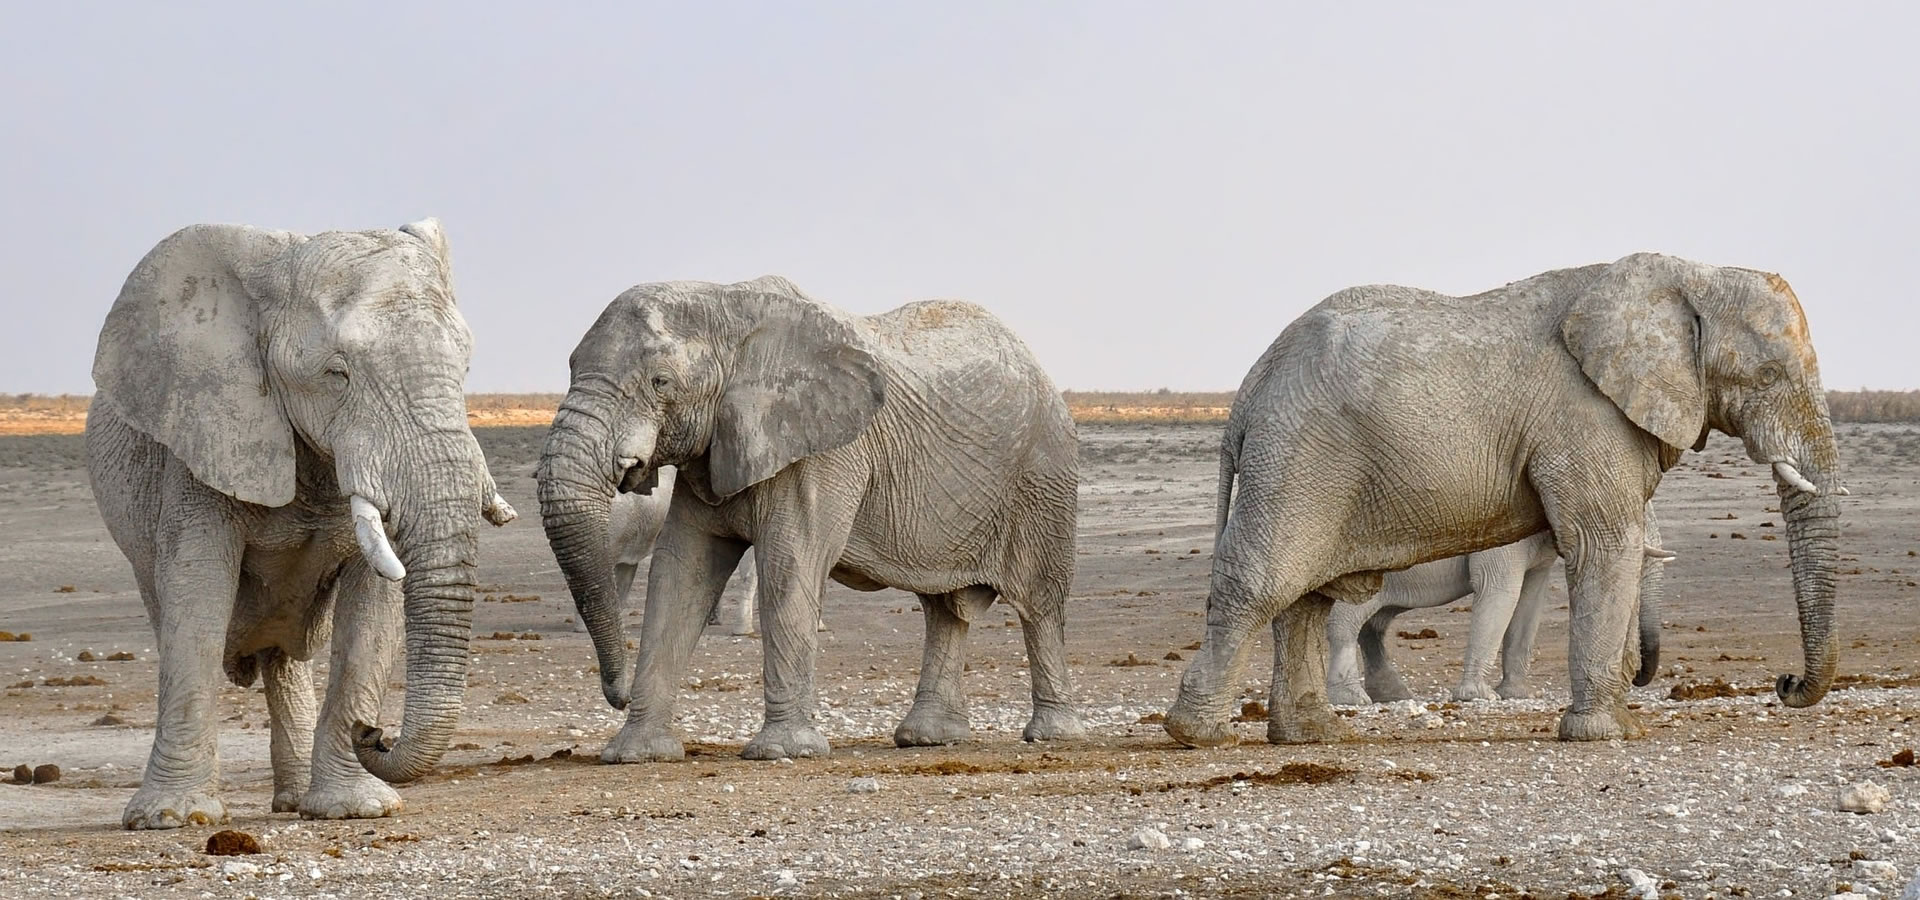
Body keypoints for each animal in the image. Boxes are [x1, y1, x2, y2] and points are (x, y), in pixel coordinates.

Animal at [86, 219, 514, 828]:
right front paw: (171, 818)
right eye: (337, 374)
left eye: (466, 369)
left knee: (283, 658)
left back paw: (293, 801)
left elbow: (372, 610)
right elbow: (197, 594)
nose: (376, 732)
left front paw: (355, 809)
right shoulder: (203, 438)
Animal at [536, 276, 1083, 762]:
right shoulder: (713, 450)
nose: (618, 694)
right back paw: (928, 739)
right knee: (945, 610)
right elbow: (681, 573)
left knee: (1039, 602)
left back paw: (1052, 735)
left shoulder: (824, 452)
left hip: (1044, 474)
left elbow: (789, 562)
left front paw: (783, 752)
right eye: (571, 367)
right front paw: (636, 754)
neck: (727, 304)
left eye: (660, 382)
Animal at [1324, 505, 1672, 706]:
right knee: (1348, 620)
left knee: (1374, 626)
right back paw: (1352, 700)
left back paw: (1393, 696)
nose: (1636, 676)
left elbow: (1530, 600)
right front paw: (1480, 696)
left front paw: (1518, 695)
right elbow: (1501, 591)